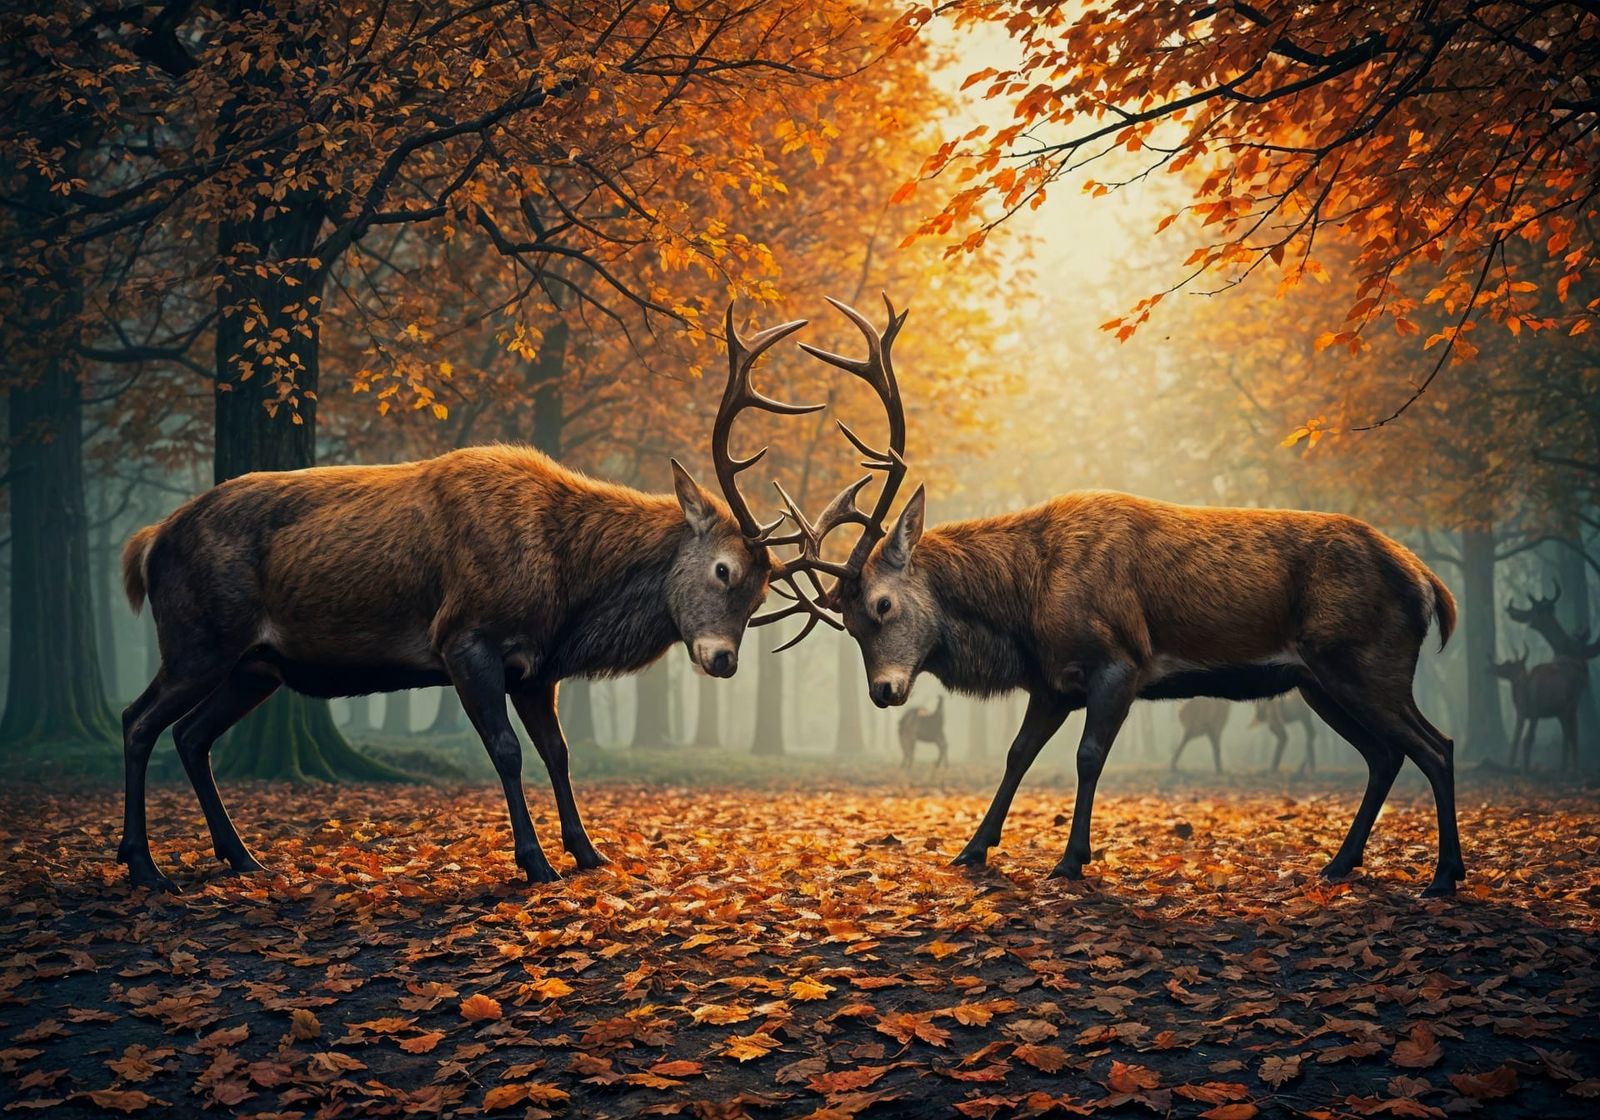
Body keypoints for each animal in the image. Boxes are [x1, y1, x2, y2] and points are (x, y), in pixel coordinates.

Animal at [117, 308, 816, 893]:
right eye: (723, 570)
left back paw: (240, 857)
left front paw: (588, 852)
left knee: (191, 735)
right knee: (138, 720)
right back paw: (145, 865)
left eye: (762, 594)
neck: (565, 596)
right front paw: (534, 862)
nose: (723, 660)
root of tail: (149, 544)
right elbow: (506, 750)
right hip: (198, 641)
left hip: (255, 666)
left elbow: (560, 753)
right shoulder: (465, 639)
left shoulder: (536, 668)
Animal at [763, 294, 1464, 896]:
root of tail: (1429, 585)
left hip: (1365, 660)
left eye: (882, 605)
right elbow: (1017, 755)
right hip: (1318, 680)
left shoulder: (1120, 663)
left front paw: (1072, 859)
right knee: (1385, 754)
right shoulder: (1051, 681)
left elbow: (1088, 756)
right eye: (848, 624)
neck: (1025, 612)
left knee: (1435, 745)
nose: (884, 692)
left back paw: (1443, 875)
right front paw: (973, 849)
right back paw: (1340, 864)